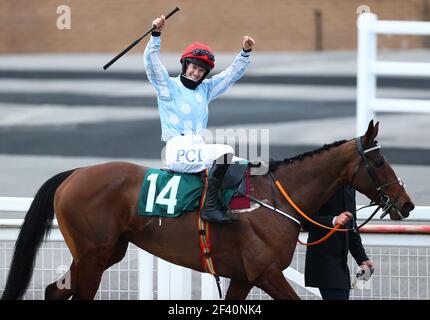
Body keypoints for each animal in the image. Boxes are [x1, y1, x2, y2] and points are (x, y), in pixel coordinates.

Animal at [1, 120, 414, 300]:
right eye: (380, 162)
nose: (407, 204)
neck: (275, 199)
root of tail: (73, 173)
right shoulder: (266, 272)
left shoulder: (245, 276)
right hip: (93, 257)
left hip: (104, 254)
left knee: (54, 291)